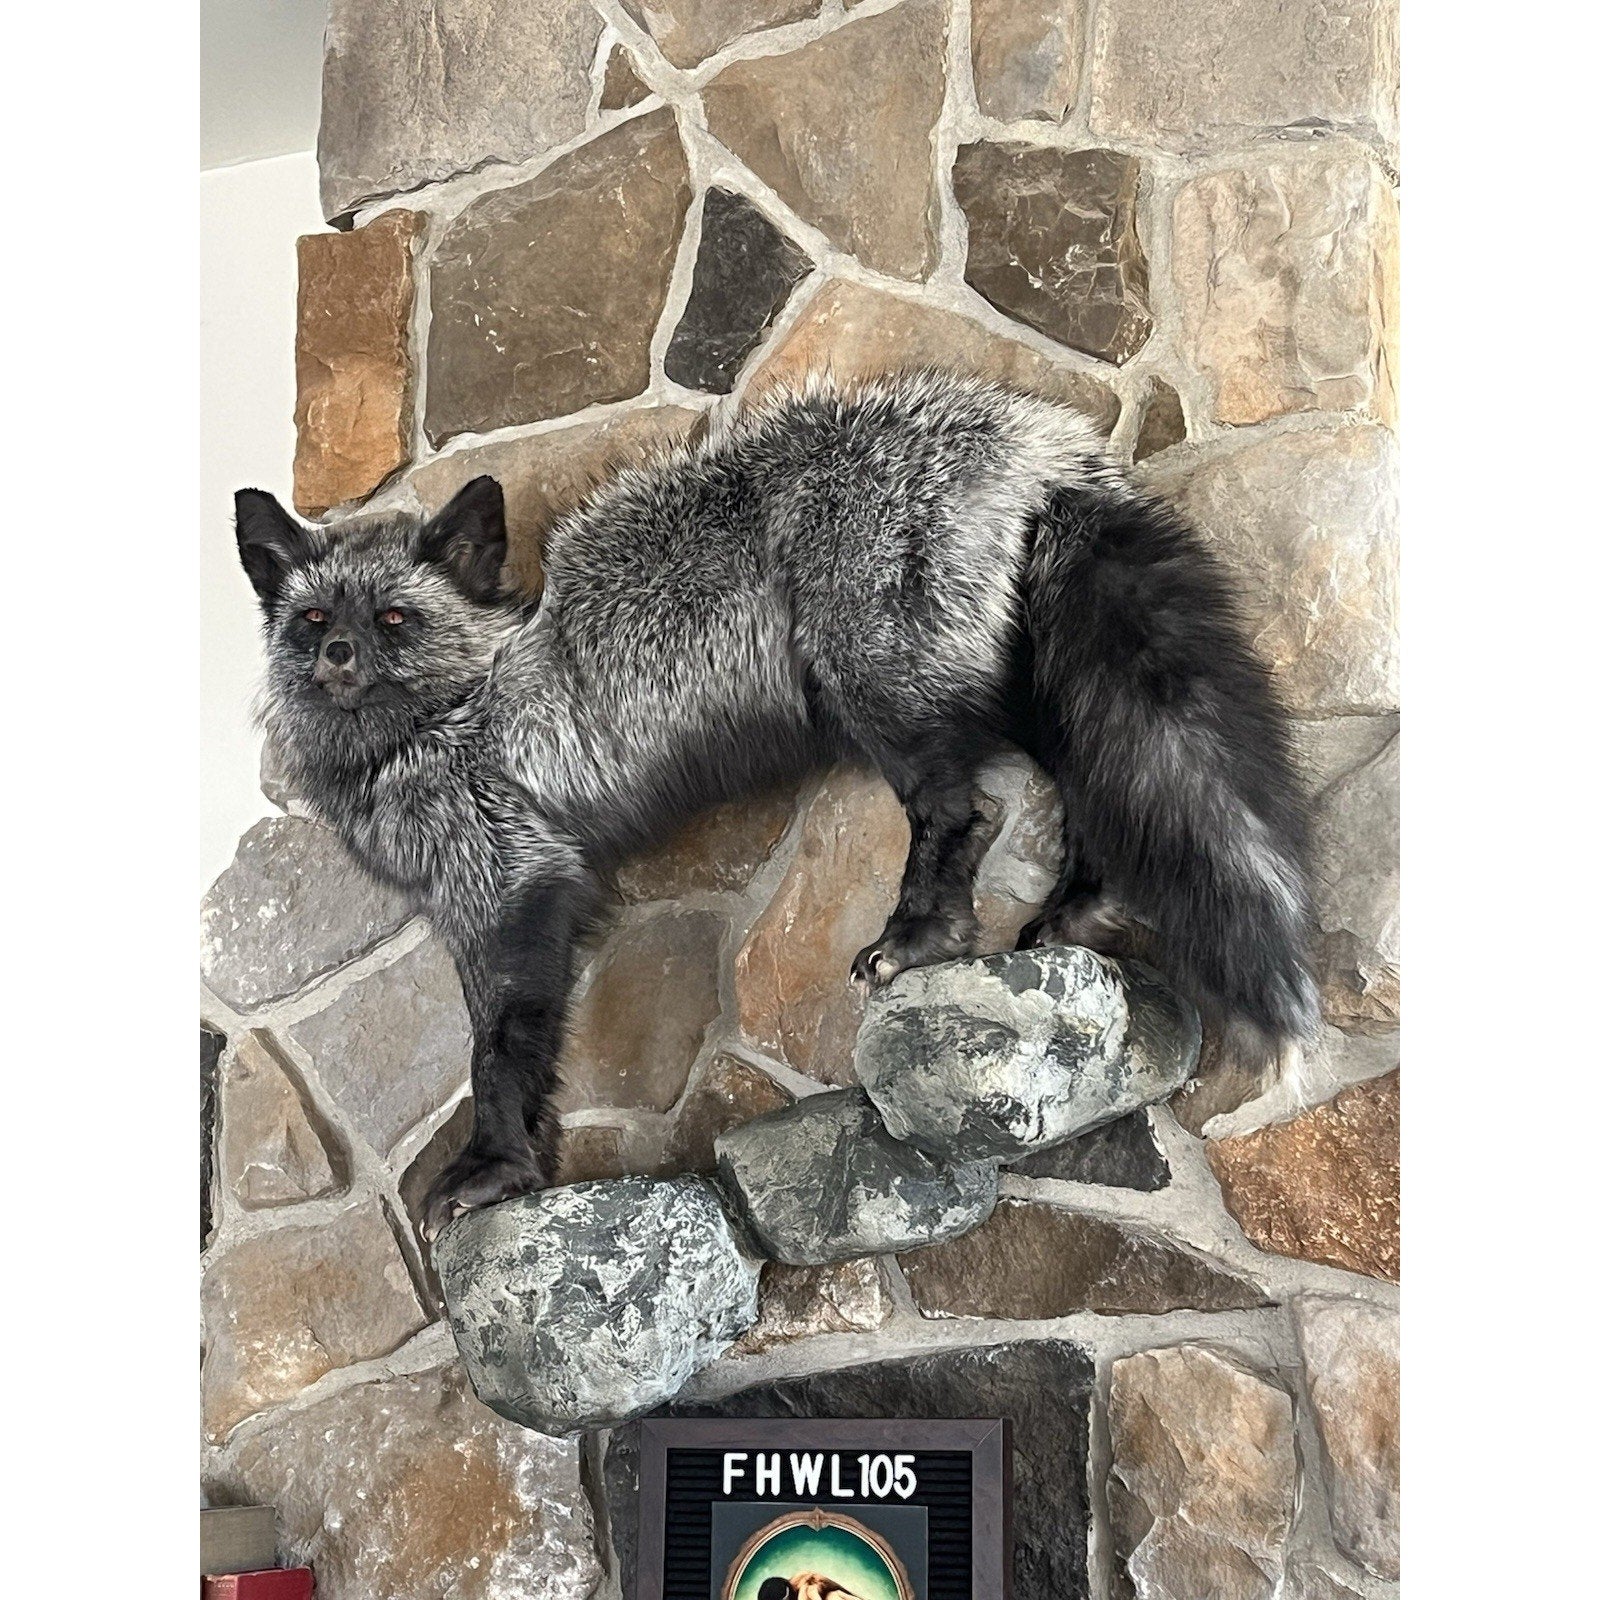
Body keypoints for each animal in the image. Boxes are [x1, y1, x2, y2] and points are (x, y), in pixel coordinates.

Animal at [234, 370, 1317, 1239]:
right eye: (314, 619)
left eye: (393, 619)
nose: (337, 658)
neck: (453, 716)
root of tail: (1031, 433)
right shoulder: (489, 899)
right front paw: (526, 1164)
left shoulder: (513, 884)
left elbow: (498, 1054)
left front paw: (495, 1170)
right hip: (1019, 681)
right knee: (1085, 792)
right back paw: (1073, 910)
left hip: (879, 685)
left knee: (963, 811)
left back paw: (922, 936)